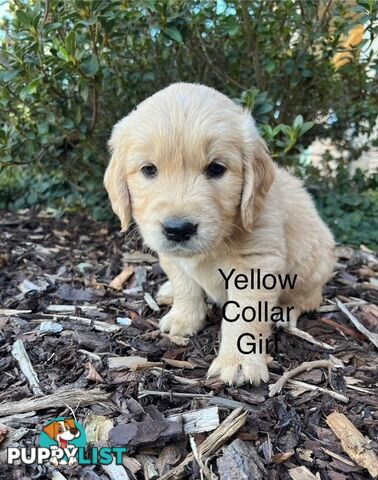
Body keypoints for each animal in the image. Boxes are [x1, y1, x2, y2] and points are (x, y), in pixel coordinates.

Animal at [105, 83, 336, 386]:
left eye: (216, 168)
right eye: (148, 169)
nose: (178, 229)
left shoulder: (255, 263)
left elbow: (244, 314)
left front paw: (238, 362)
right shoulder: (172, 257)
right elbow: (185, 285)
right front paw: (184, 318)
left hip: (315, 265)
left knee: (308, 298)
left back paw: (285, 312)